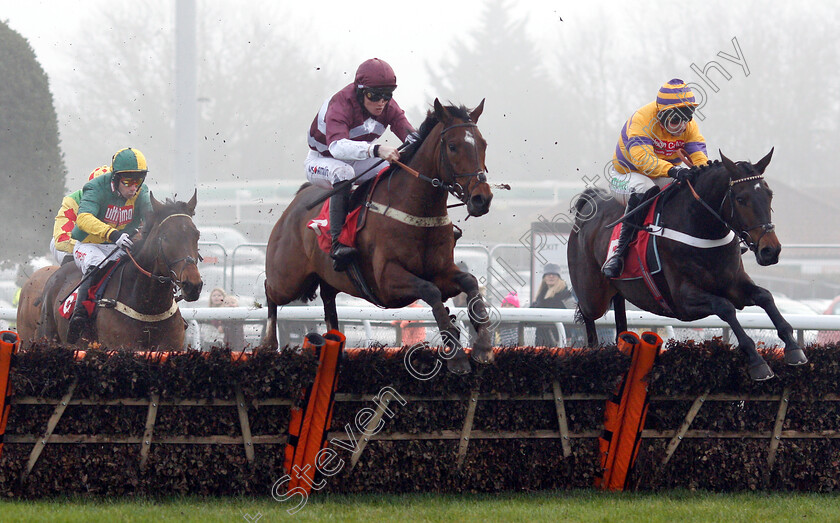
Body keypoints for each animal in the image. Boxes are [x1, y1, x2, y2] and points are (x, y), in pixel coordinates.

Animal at [264, 98, 492, 374]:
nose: (482, 199)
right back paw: (267, 344)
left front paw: (483, 345)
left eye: (483, 144)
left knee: (328, 301)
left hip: (327, 277)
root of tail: (296, 201)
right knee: (269, 291)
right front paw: (456, 354)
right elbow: (430, 291)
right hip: (288, 279)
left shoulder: (441, 269)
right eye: (453, 146)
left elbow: (470, 282)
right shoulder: (386, 281)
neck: (417, 211)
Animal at [568, 149, 812, 382]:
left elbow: (765, 297)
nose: (770, 250)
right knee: (588, 316)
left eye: (769, 195)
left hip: (617, 291)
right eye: (741, 199)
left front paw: (794, 349)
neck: (702, 229)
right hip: (593, 295)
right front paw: (757, 362)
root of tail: (589, 203)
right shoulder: (682, 300)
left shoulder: (734, 284)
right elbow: (725, 307)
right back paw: (592, 356)